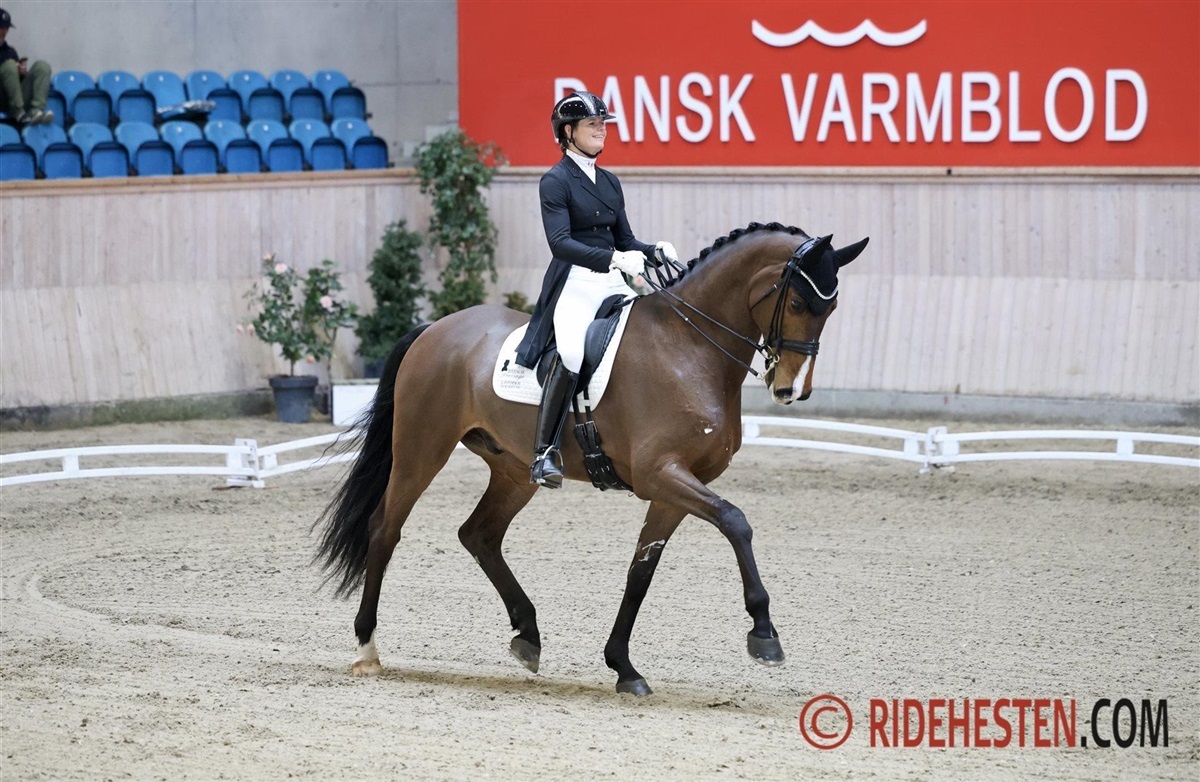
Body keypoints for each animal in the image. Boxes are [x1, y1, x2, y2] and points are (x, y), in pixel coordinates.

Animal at [315, 221, 868, 695]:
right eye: (797, 300)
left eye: (831, 307)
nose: (791, 390)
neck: (689, 346)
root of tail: (434, 328)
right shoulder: (660, 474)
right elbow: (736, 521)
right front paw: (764, 634)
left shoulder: (674, 487)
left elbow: (640, 572)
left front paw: (623, 667)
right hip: (420, 448)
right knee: (385, 528)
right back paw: (366, 648)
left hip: (514, 471)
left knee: (479, 535)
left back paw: (528, 636)